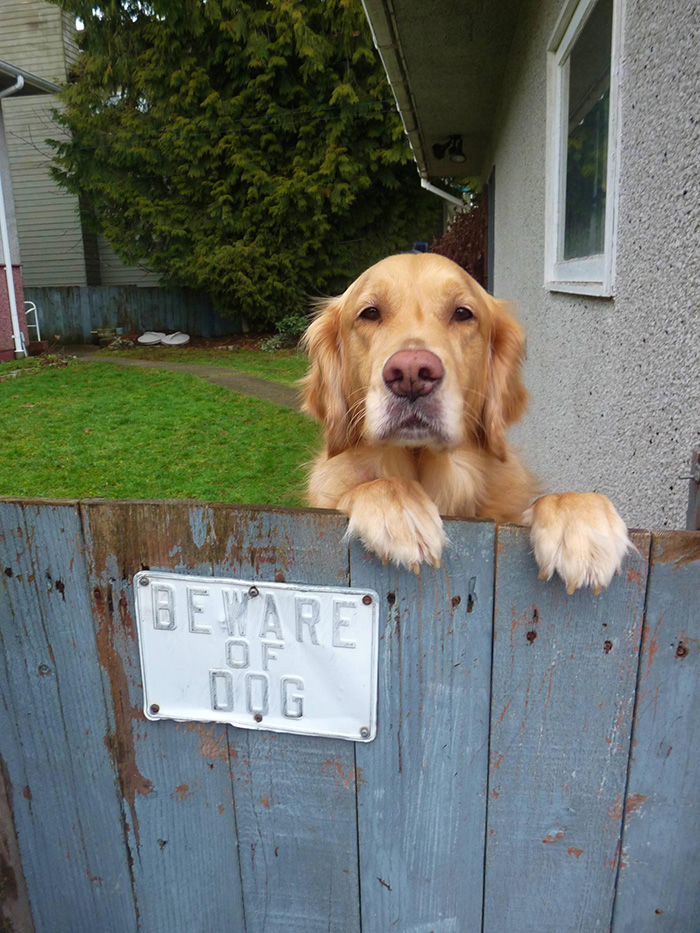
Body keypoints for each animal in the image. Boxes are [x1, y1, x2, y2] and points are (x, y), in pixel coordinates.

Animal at [298, 251, 632, 592]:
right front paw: (399, 510)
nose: (411, 374)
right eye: (370, 313)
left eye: (462, 313)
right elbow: (373, 484)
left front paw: (582, 522)